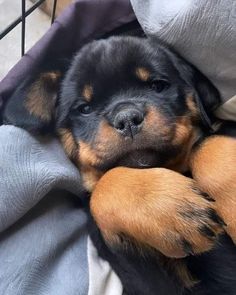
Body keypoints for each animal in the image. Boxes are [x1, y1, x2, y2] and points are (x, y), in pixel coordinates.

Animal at [2, 35, 236, 294]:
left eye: (158, 86)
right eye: (84, 108)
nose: (127, 119)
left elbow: (205, 143)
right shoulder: (145, 276)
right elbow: (102, 185)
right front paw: (173, 209)